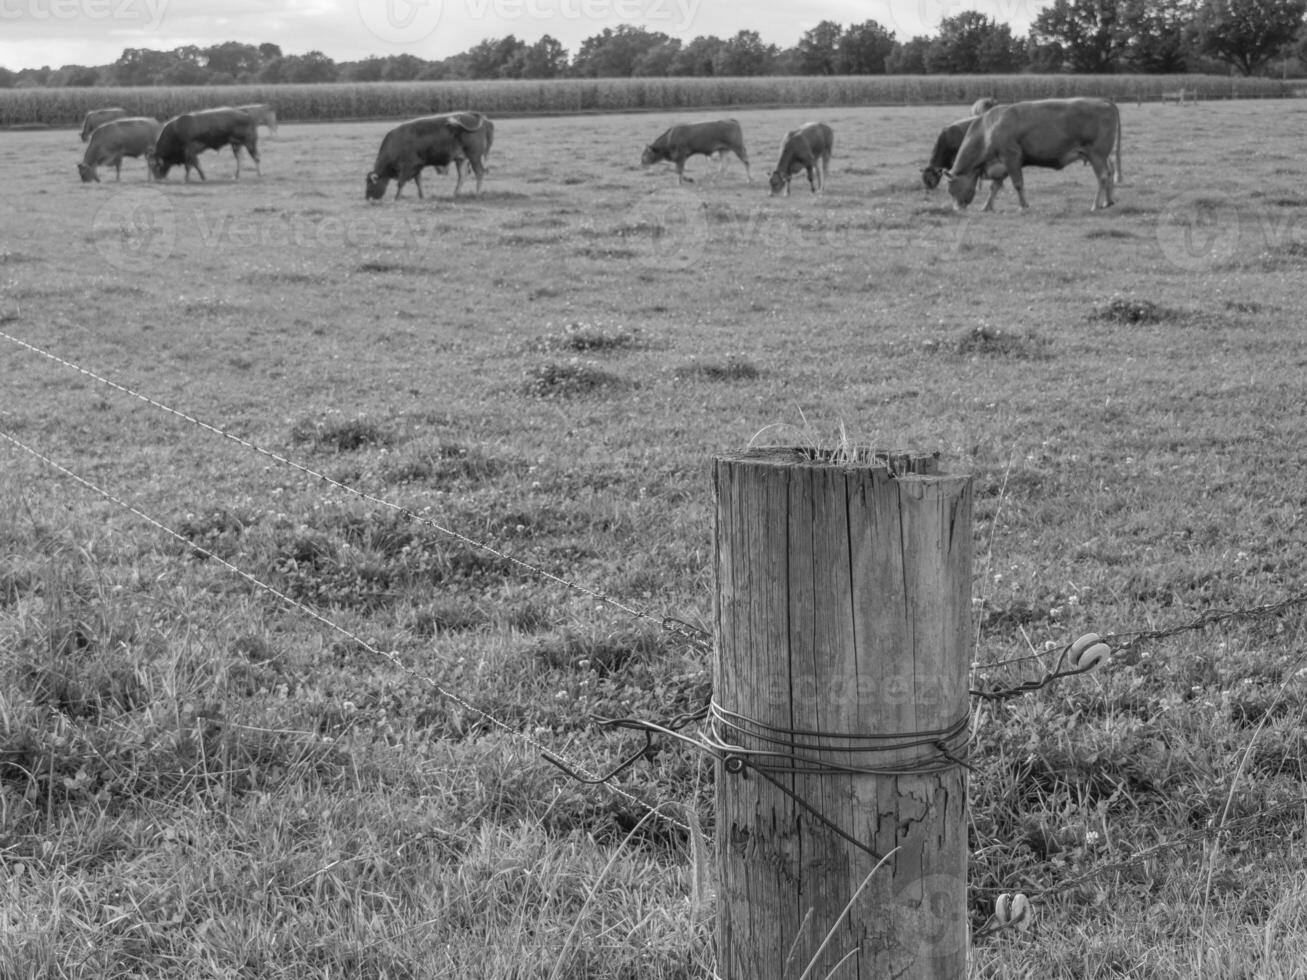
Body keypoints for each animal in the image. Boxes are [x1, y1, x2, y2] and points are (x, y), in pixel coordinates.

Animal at [941, 97, 1124, 211]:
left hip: (1096, 153)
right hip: (1102, 155)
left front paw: (1023, 206)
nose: (957, 209)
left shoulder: (1011, 156)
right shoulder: (1000, 164)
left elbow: (1017, 184)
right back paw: (1108, 201)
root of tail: (1101, 100)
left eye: (951, 189)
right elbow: (995, 187)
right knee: (1110, 171)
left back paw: (1095, 205)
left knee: (1103, 176)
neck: (987, 130)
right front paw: (986, 207)